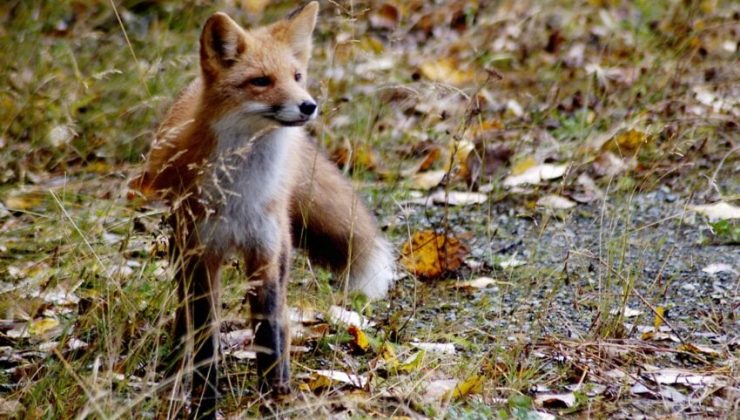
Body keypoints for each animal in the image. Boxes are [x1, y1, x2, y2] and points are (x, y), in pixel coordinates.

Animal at [129, 1, 394, 416]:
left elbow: (269, 335)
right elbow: (205, 341)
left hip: (279, 251)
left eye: (297, 76)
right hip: (181, 250)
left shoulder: (264, 254)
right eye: (261, 81)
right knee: (184, 315)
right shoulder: (202, 256)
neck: (242, 191)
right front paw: (204, 405)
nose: (308, 105)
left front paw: (275, 400)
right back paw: (175, 364)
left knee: (281, 321)